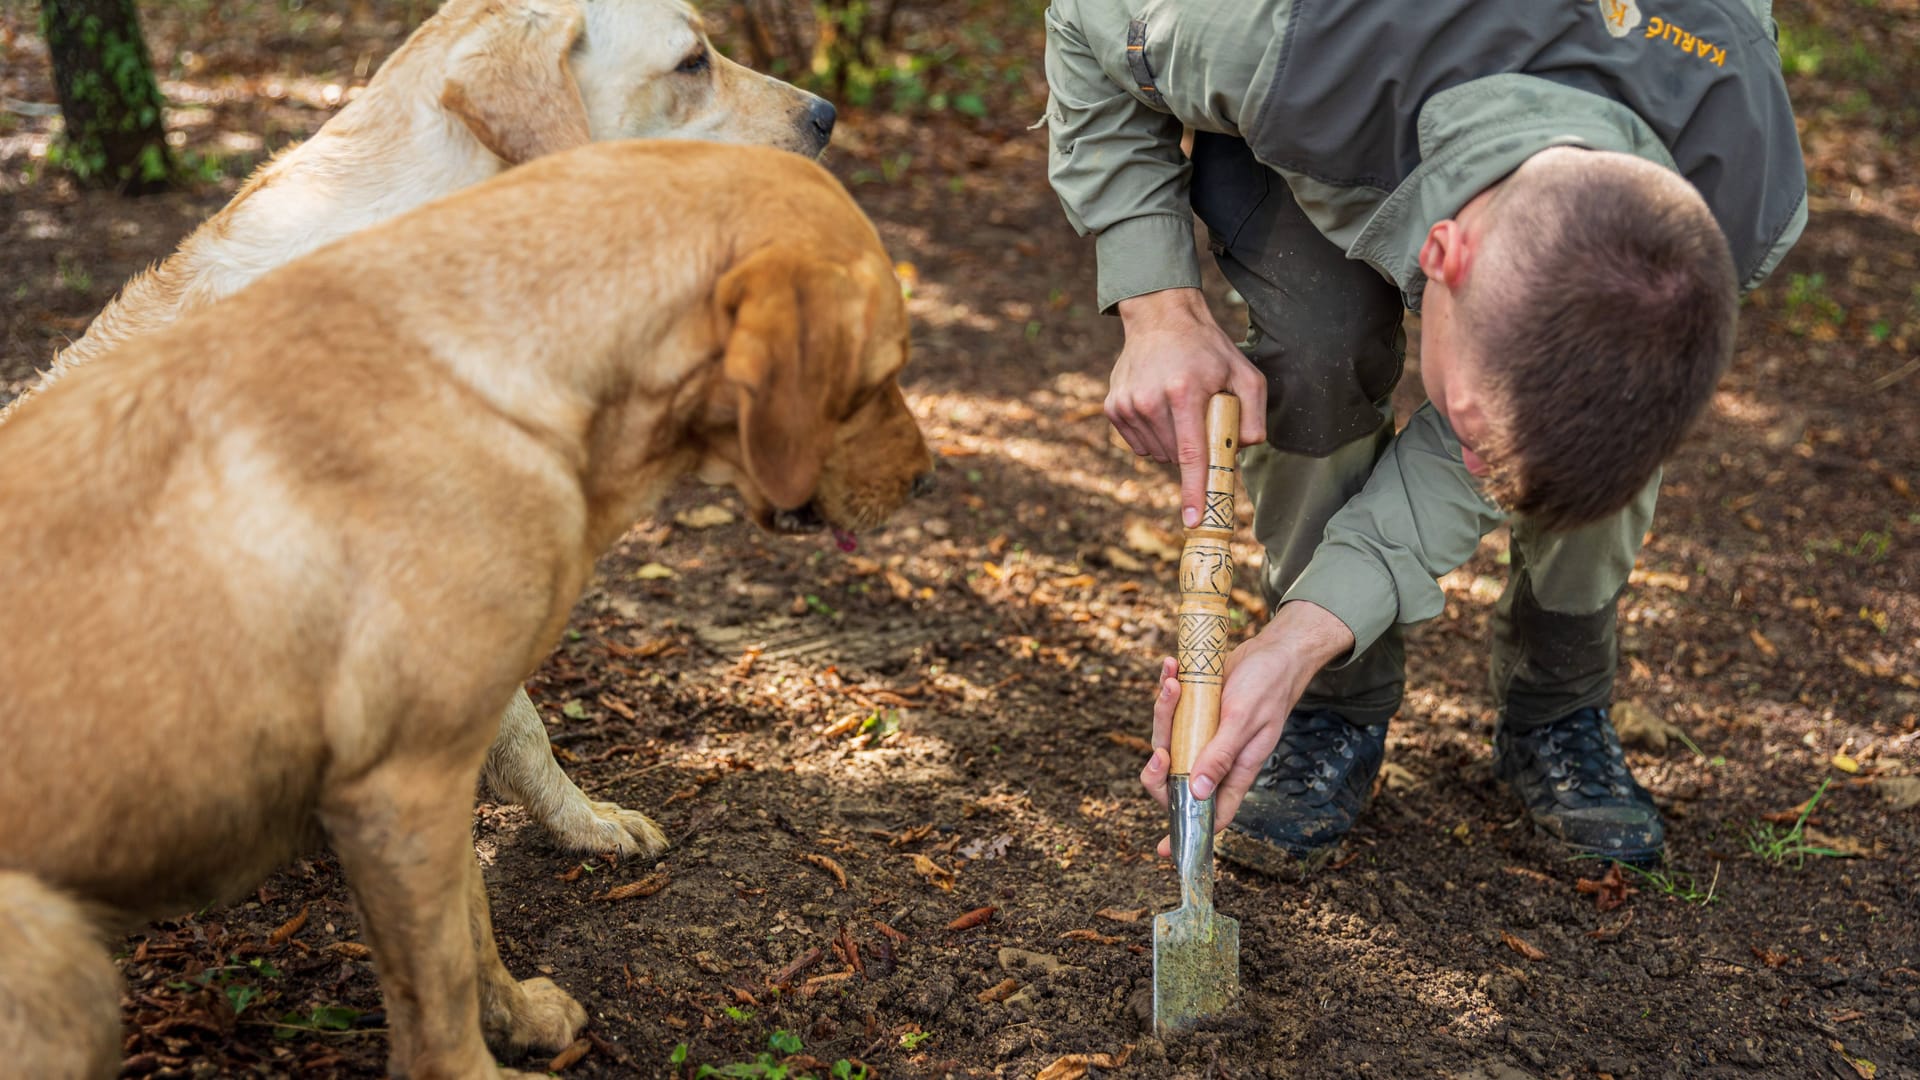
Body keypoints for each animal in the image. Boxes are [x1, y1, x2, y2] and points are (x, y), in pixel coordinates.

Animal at [0, 138, 936, 1068]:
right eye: (881, 372)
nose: (928, 479)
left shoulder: (441, 762)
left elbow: (472, 918)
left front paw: (521, 1013)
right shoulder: (403, 785)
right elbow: (439, 993)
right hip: (64, 954)